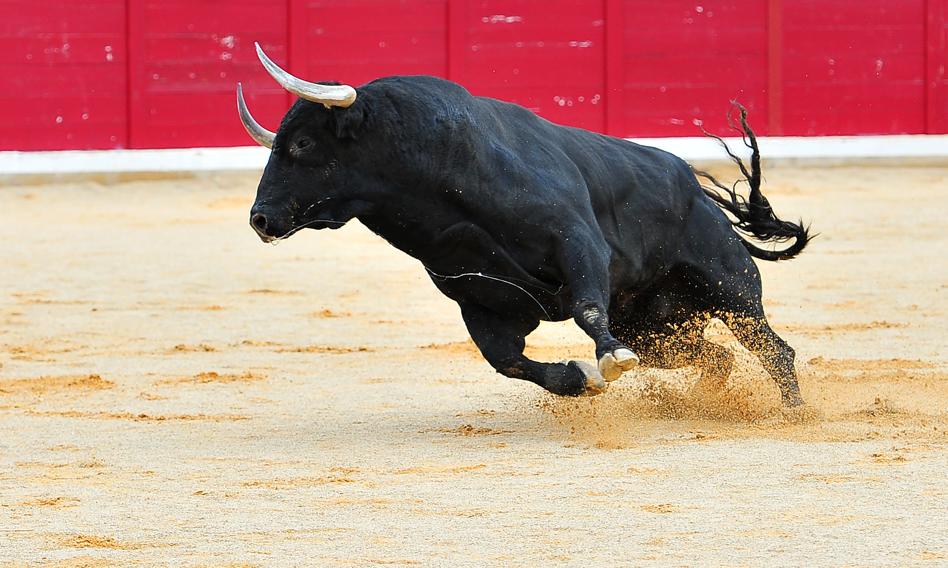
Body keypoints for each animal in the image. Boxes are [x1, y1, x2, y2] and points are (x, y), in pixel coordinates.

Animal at [241, 43, 812, 404]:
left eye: (302, 143)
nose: (261, 218)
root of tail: (696, 189)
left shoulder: (578, 243)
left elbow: (585, 307)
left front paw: (608, 360)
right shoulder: (479, 300)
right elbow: (507, 360)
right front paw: (581, 379)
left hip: (729, 286)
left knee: (774, 347)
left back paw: (792, 411)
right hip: (653, 327)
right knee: (715, 359)